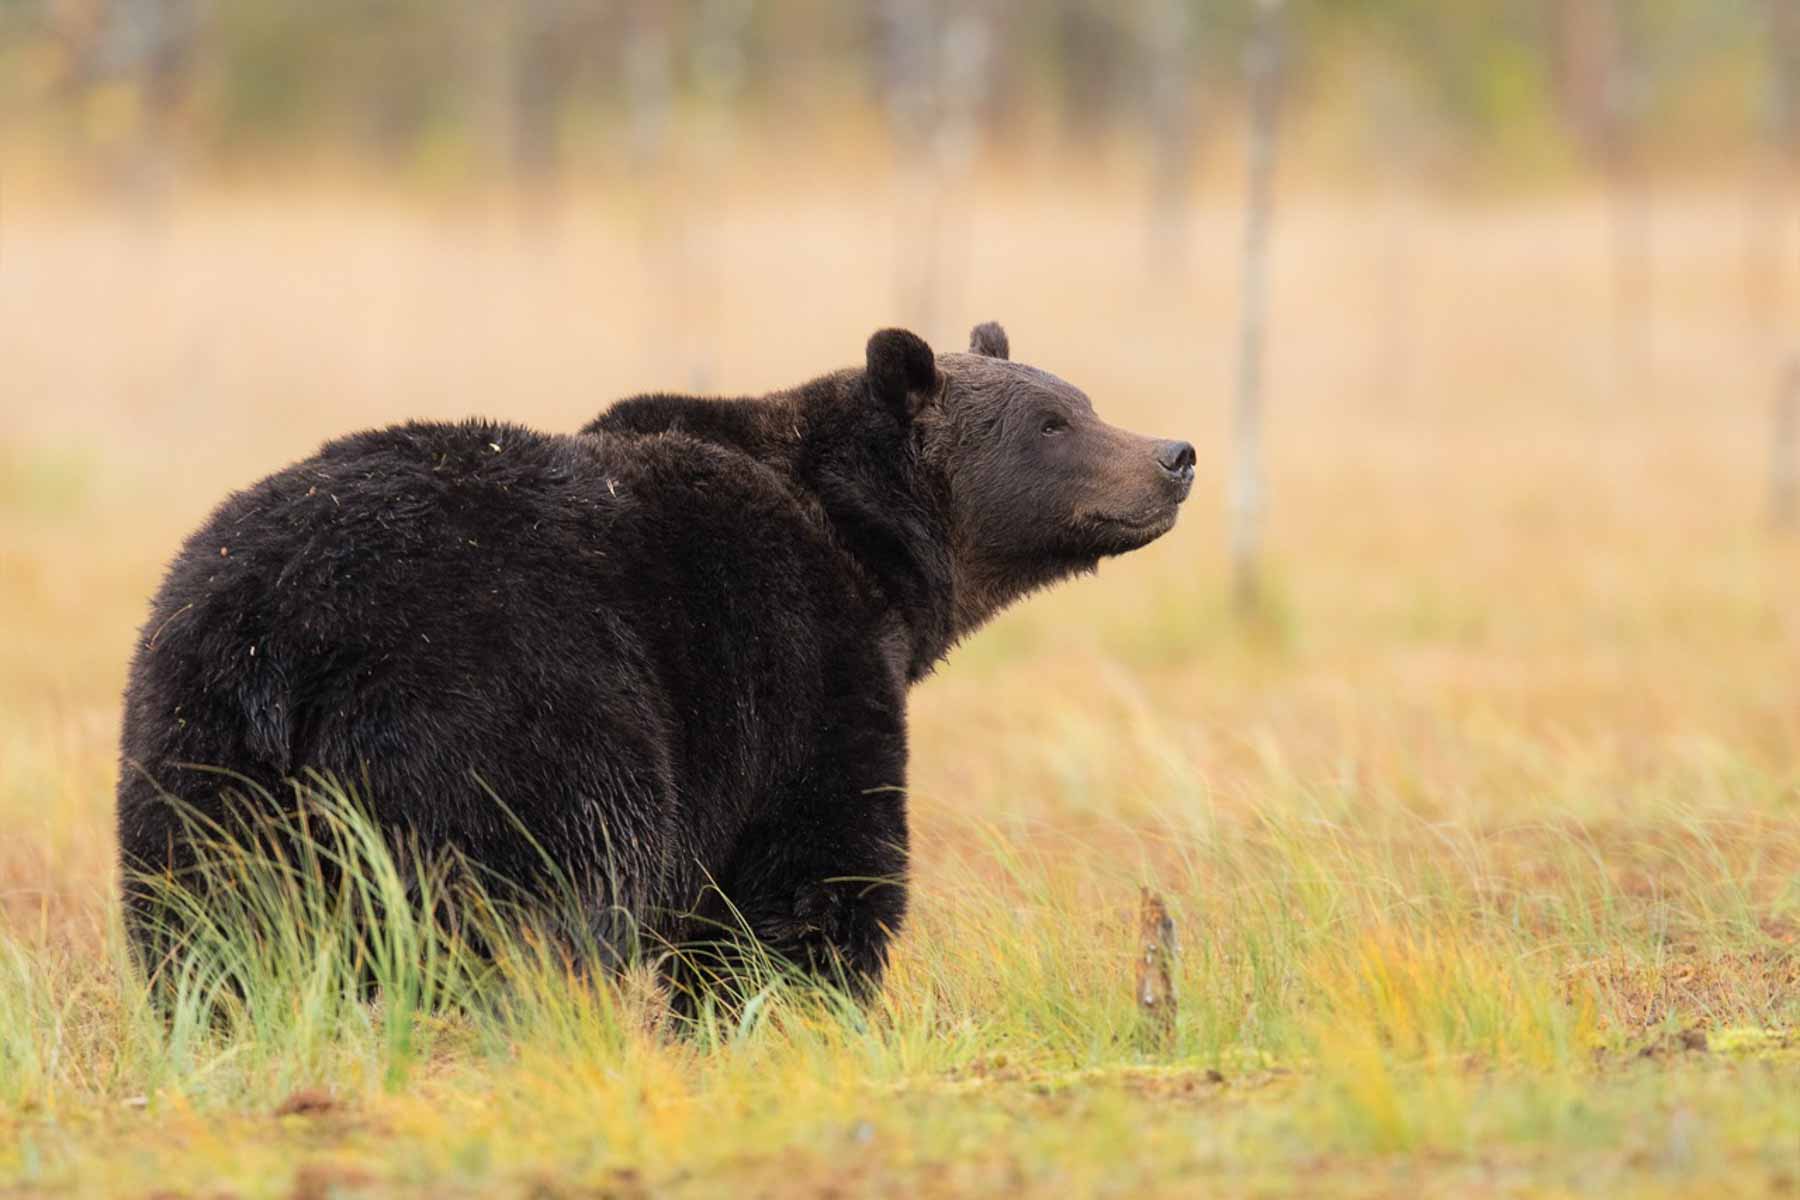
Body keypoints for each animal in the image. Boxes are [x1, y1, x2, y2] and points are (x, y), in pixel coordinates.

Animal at [123, 323, 1195, 1007]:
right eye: (1053, 423)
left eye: (1081, 400)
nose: (1174, 455)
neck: (879, 557)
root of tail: (285, 635)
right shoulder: (804, 660)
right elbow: (809, 875)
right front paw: (781, 1008)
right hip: (504, 711)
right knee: (528, 898)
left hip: (192, 738)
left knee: (204, 917)